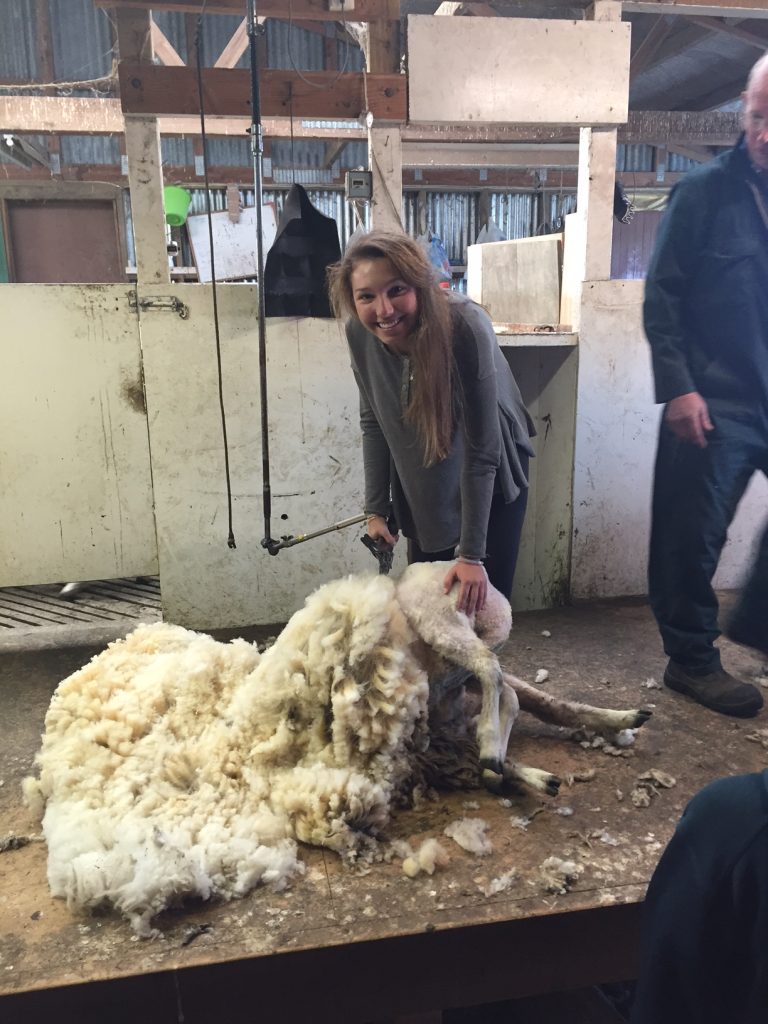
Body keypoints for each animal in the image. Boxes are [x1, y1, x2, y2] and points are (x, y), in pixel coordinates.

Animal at [23, 562, 650, 936]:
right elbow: (516, 706)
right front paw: (516, 765)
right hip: (445, 654)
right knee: (502, 684)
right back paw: (525, 755)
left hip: (443, 630)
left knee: (497, 676)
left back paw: (534, 746)